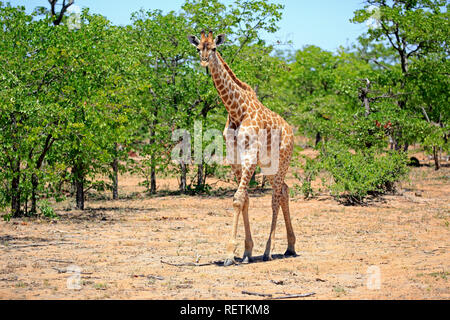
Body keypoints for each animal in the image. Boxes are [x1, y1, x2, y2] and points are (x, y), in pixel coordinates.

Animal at [186, 30, 296, 266]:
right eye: (198, 48)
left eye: (214, 48)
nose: (204, 61)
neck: (236, 110)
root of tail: (291, 130)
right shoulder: (234, 158)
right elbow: (244, 200)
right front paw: (246, 252)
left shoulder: (249, 156)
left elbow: (237, 199)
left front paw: (229, 255)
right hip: (269, 166)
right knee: (284, 190)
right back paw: (290, 247)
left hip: (282, 160)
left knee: (275, 197)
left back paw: (268, 250)